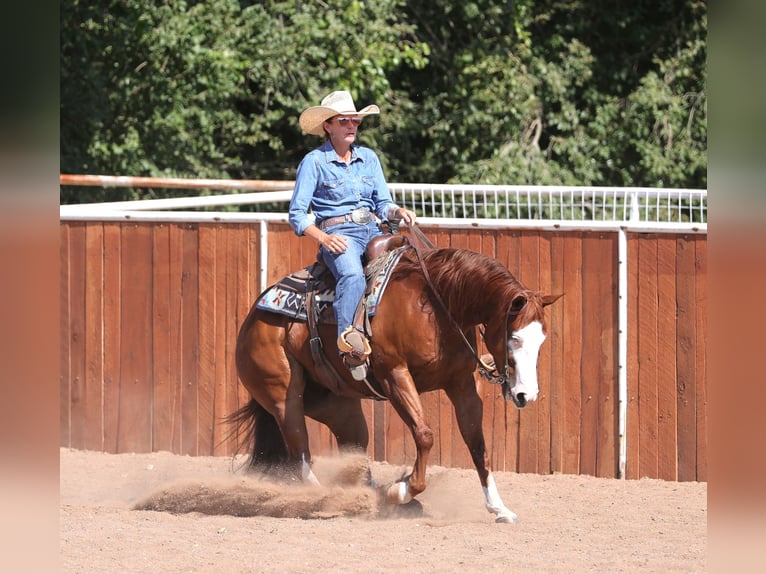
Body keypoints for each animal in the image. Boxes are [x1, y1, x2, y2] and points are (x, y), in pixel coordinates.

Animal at [229, 230, 561, 523]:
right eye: (514, 338)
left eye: (542, 340)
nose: (526, 395)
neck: (437, 306)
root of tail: (253, 318)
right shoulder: (395, 376)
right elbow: (425, 435)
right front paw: (402, 489)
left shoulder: (462, 383)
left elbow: (476, 441)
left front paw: (499, 508)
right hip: (284, 399)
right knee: (300, 453)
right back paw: (330, 499)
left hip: (338, 407)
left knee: (354, 447)